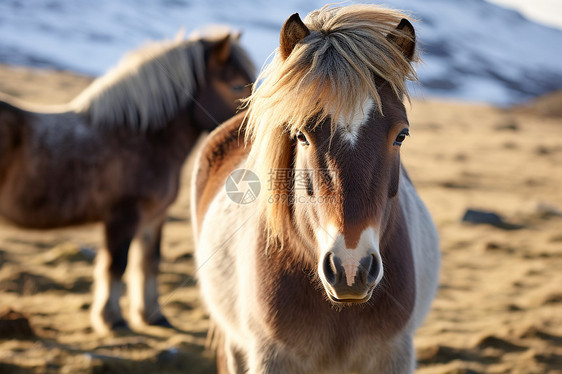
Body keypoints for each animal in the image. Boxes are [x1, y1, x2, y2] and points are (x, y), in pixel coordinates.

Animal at [0, 25, 254, 334]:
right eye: (236, 85)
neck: (140, 137)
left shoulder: (153, 217)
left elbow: (148, 263)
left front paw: (152, 316)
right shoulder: (123, 217)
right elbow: (116, 265)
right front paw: (112, 319)